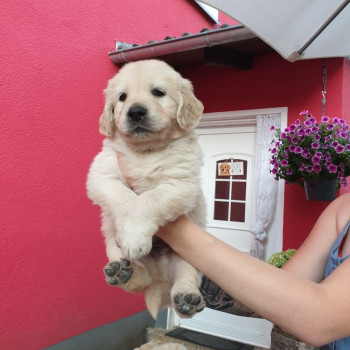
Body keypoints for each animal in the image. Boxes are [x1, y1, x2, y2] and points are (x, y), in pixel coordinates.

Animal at [87, 60, 205, 320]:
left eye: (158, 92)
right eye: (122, 97)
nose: (135, 112)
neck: (146, 151)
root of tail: (160, 276)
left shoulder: (180, 184)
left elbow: (148, 199)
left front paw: (134, 235)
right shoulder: (102, 175)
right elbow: (124, 198)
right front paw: (129, 235)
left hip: (190, 257)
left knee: (186, 275)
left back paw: (187, 299)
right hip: (113, 250)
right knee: (139, 279)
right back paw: (124, 273)